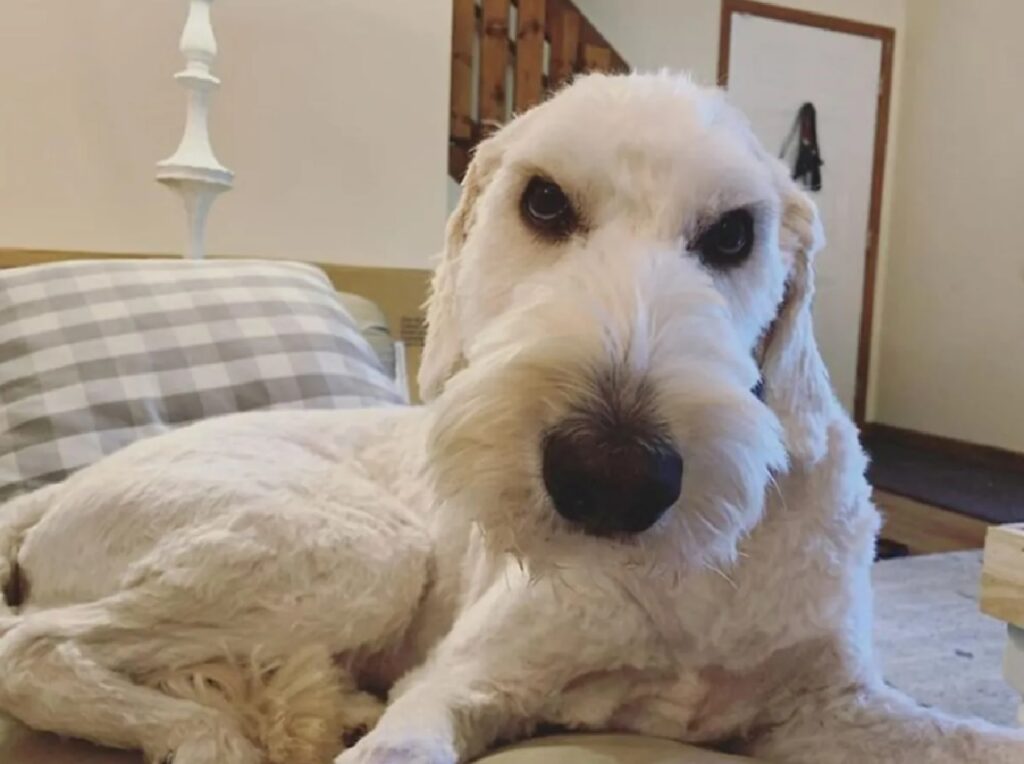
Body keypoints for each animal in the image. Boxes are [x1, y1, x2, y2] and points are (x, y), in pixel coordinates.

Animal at [2, 72, 1024, 761]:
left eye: (735, 232)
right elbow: (408, 737)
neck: (688, 582)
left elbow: (975, 737)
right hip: (350, 545)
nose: (611, 478)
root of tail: (58, 492)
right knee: (34, 646)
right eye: (543, 199)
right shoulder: (470, 676)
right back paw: (212, 734)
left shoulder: (830, 704)